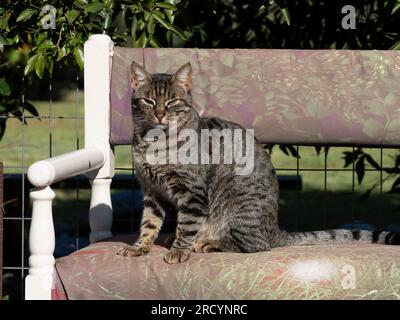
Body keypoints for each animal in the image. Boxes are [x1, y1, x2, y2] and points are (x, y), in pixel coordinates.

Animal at [116, 61, 400, 264]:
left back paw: (207, 243)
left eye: (172, 101)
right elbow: (148, 224)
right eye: (149, 101)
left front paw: (177, 251)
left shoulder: (192, 192)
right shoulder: (151, 191)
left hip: (239, 212)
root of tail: (276, 230)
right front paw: (139, 247)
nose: (159, 114)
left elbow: (186, 226)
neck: (154, 143)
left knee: (254, 245)